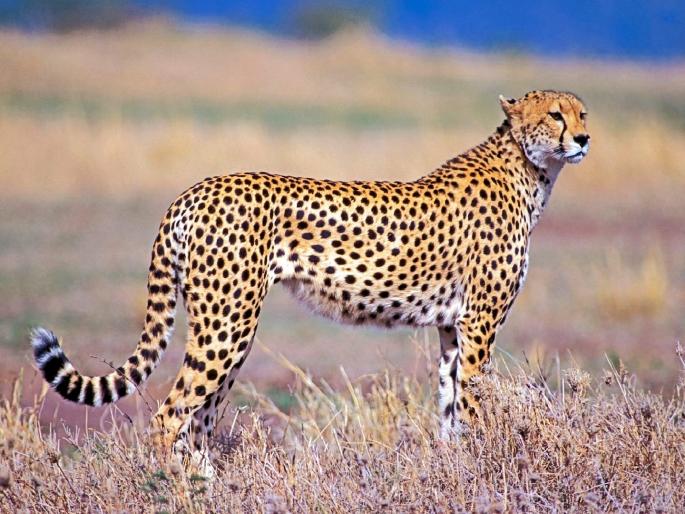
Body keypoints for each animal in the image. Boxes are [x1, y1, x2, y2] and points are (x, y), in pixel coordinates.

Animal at [31, 89, 589, 474]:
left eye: (582, 113)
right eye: (555, 115)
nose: (584, 139)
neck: (529, 169)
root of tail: (194, 189)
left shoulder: (453, 327)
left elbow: (451, 406)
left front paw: (453, 465)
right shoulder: (479, 325)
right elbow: (475, 404)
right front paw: (480, 464)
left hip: (225, 326)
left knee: (200, 419)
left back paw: (210, 484)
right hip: (228, 324)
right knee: (171, 416)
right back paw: (181, 490)